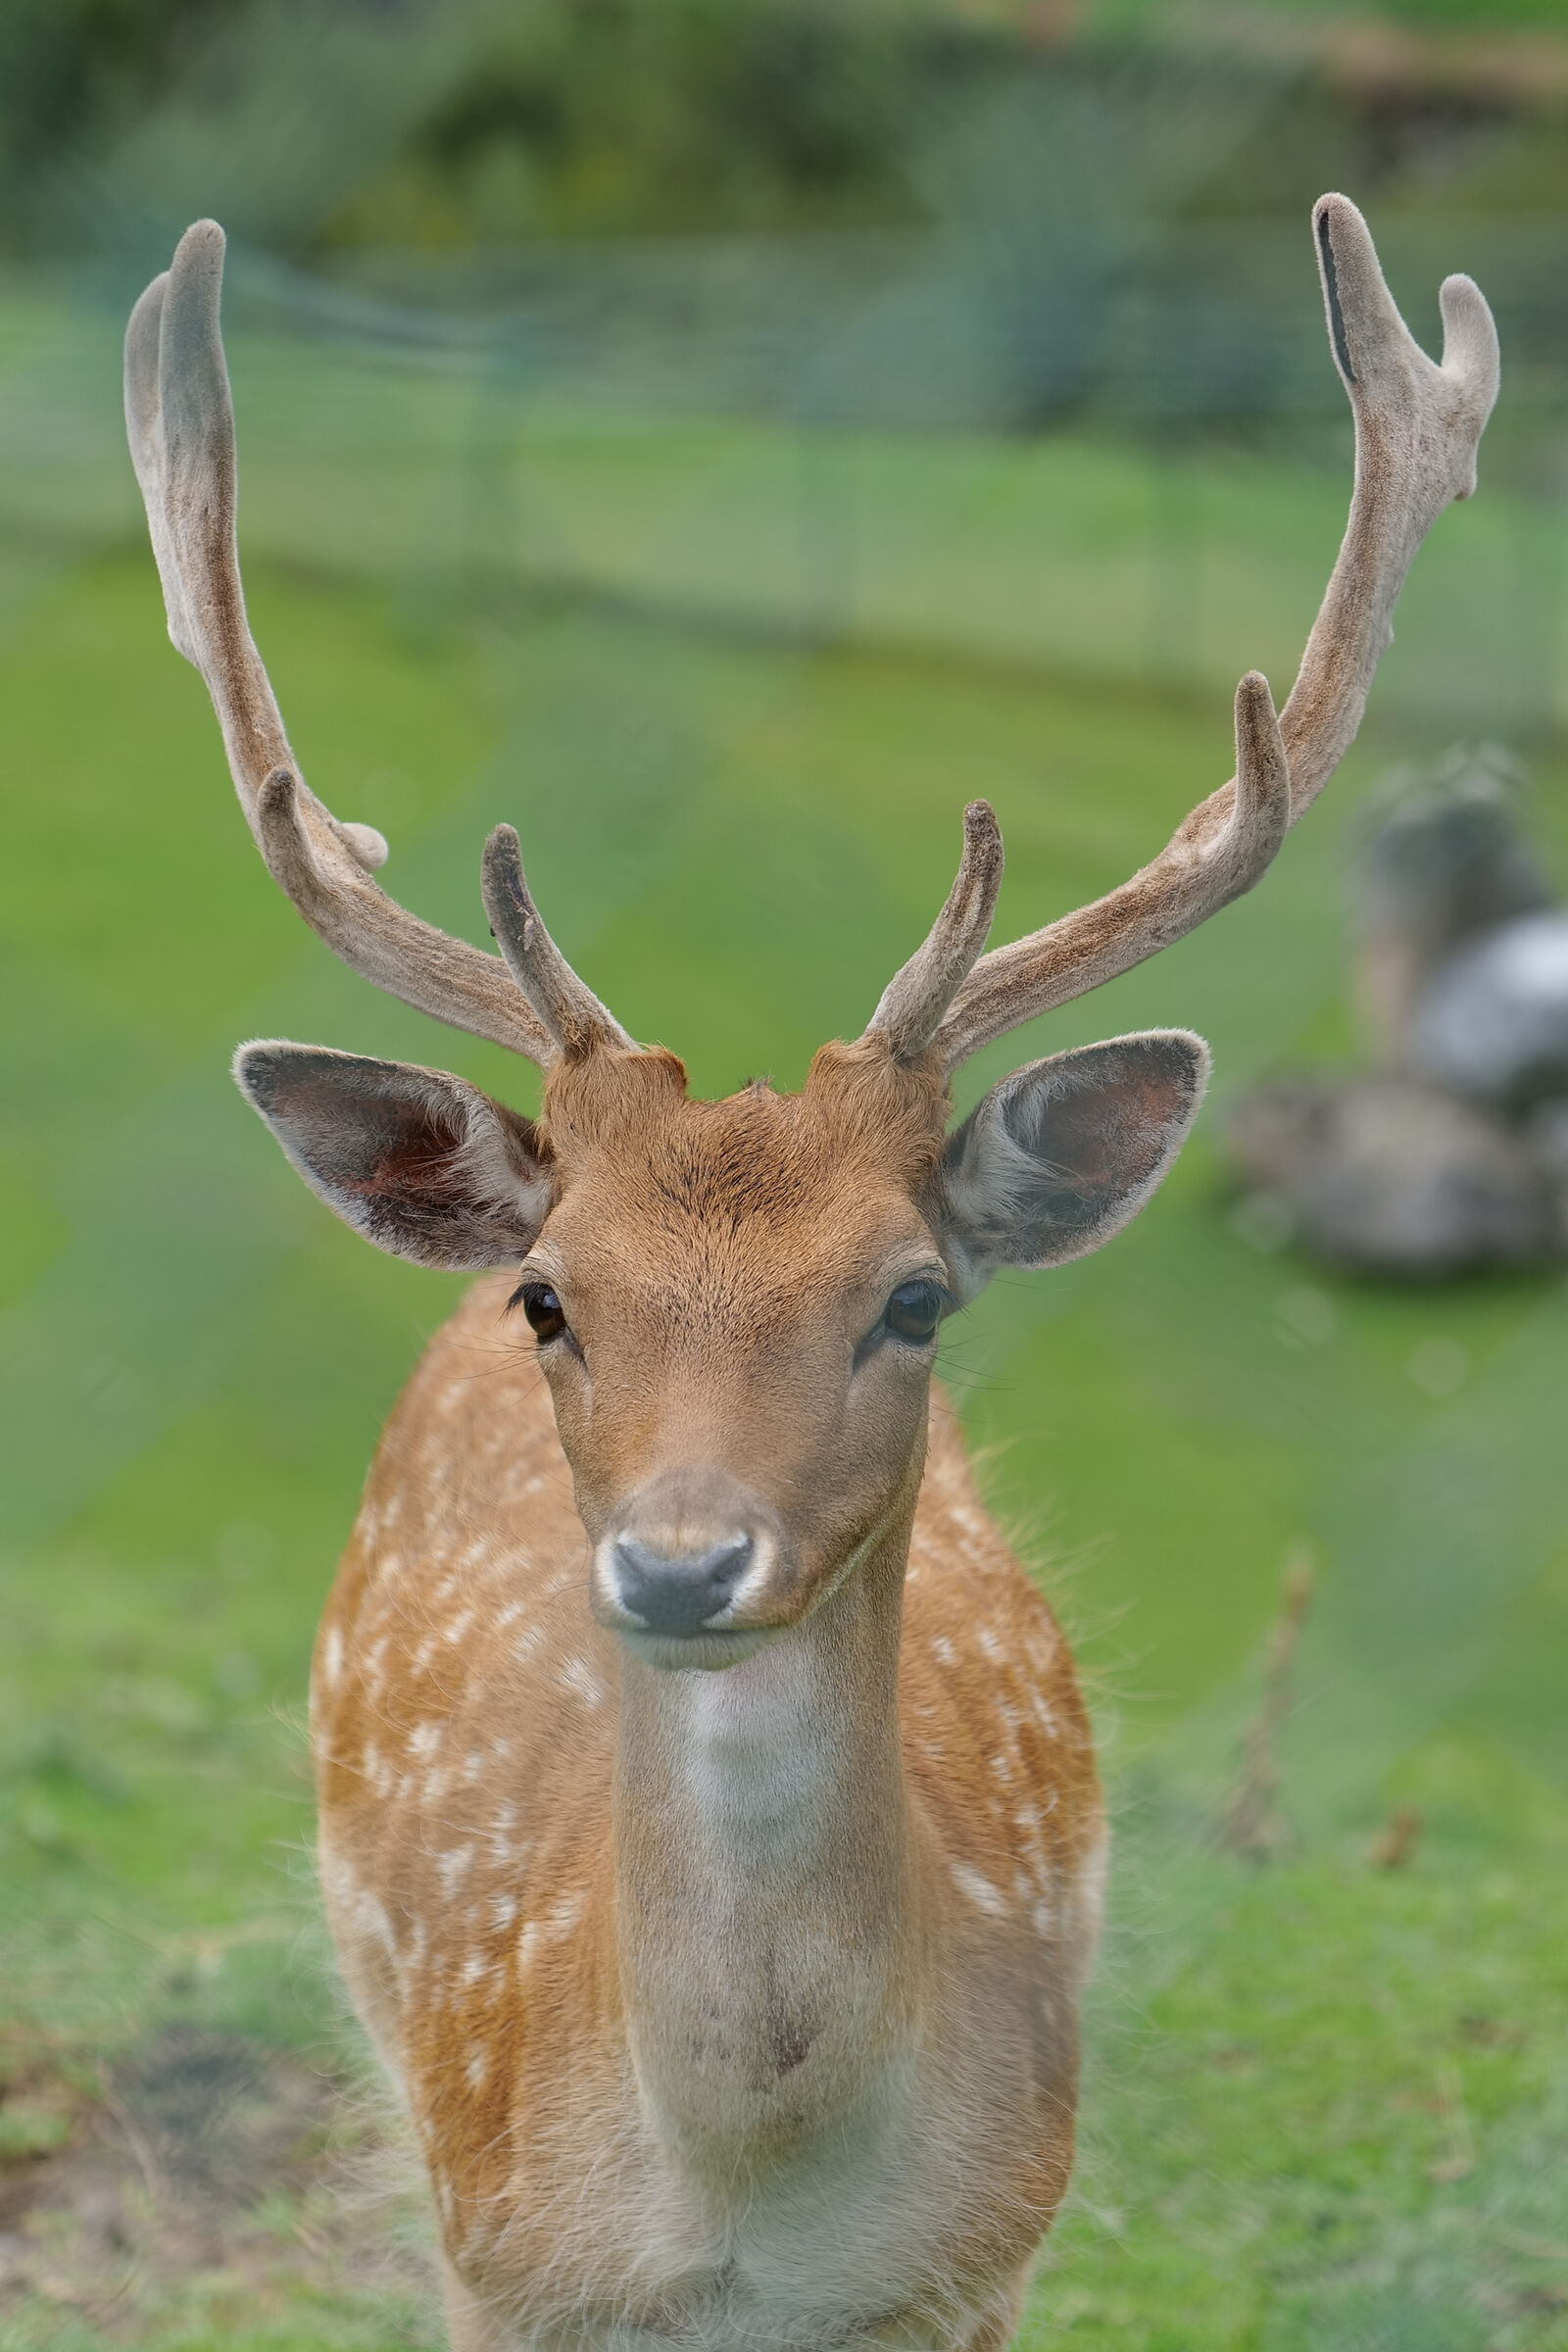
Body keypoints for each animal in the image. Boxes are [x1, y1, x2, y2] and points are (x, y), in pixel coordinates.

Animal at [124, 196, 1496, 2350]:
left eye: (913, 1296)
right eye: (551, 1297)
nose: (683, 1565)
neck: (745, 2207)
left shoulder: (986, 2258)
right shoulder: (494, 2254)